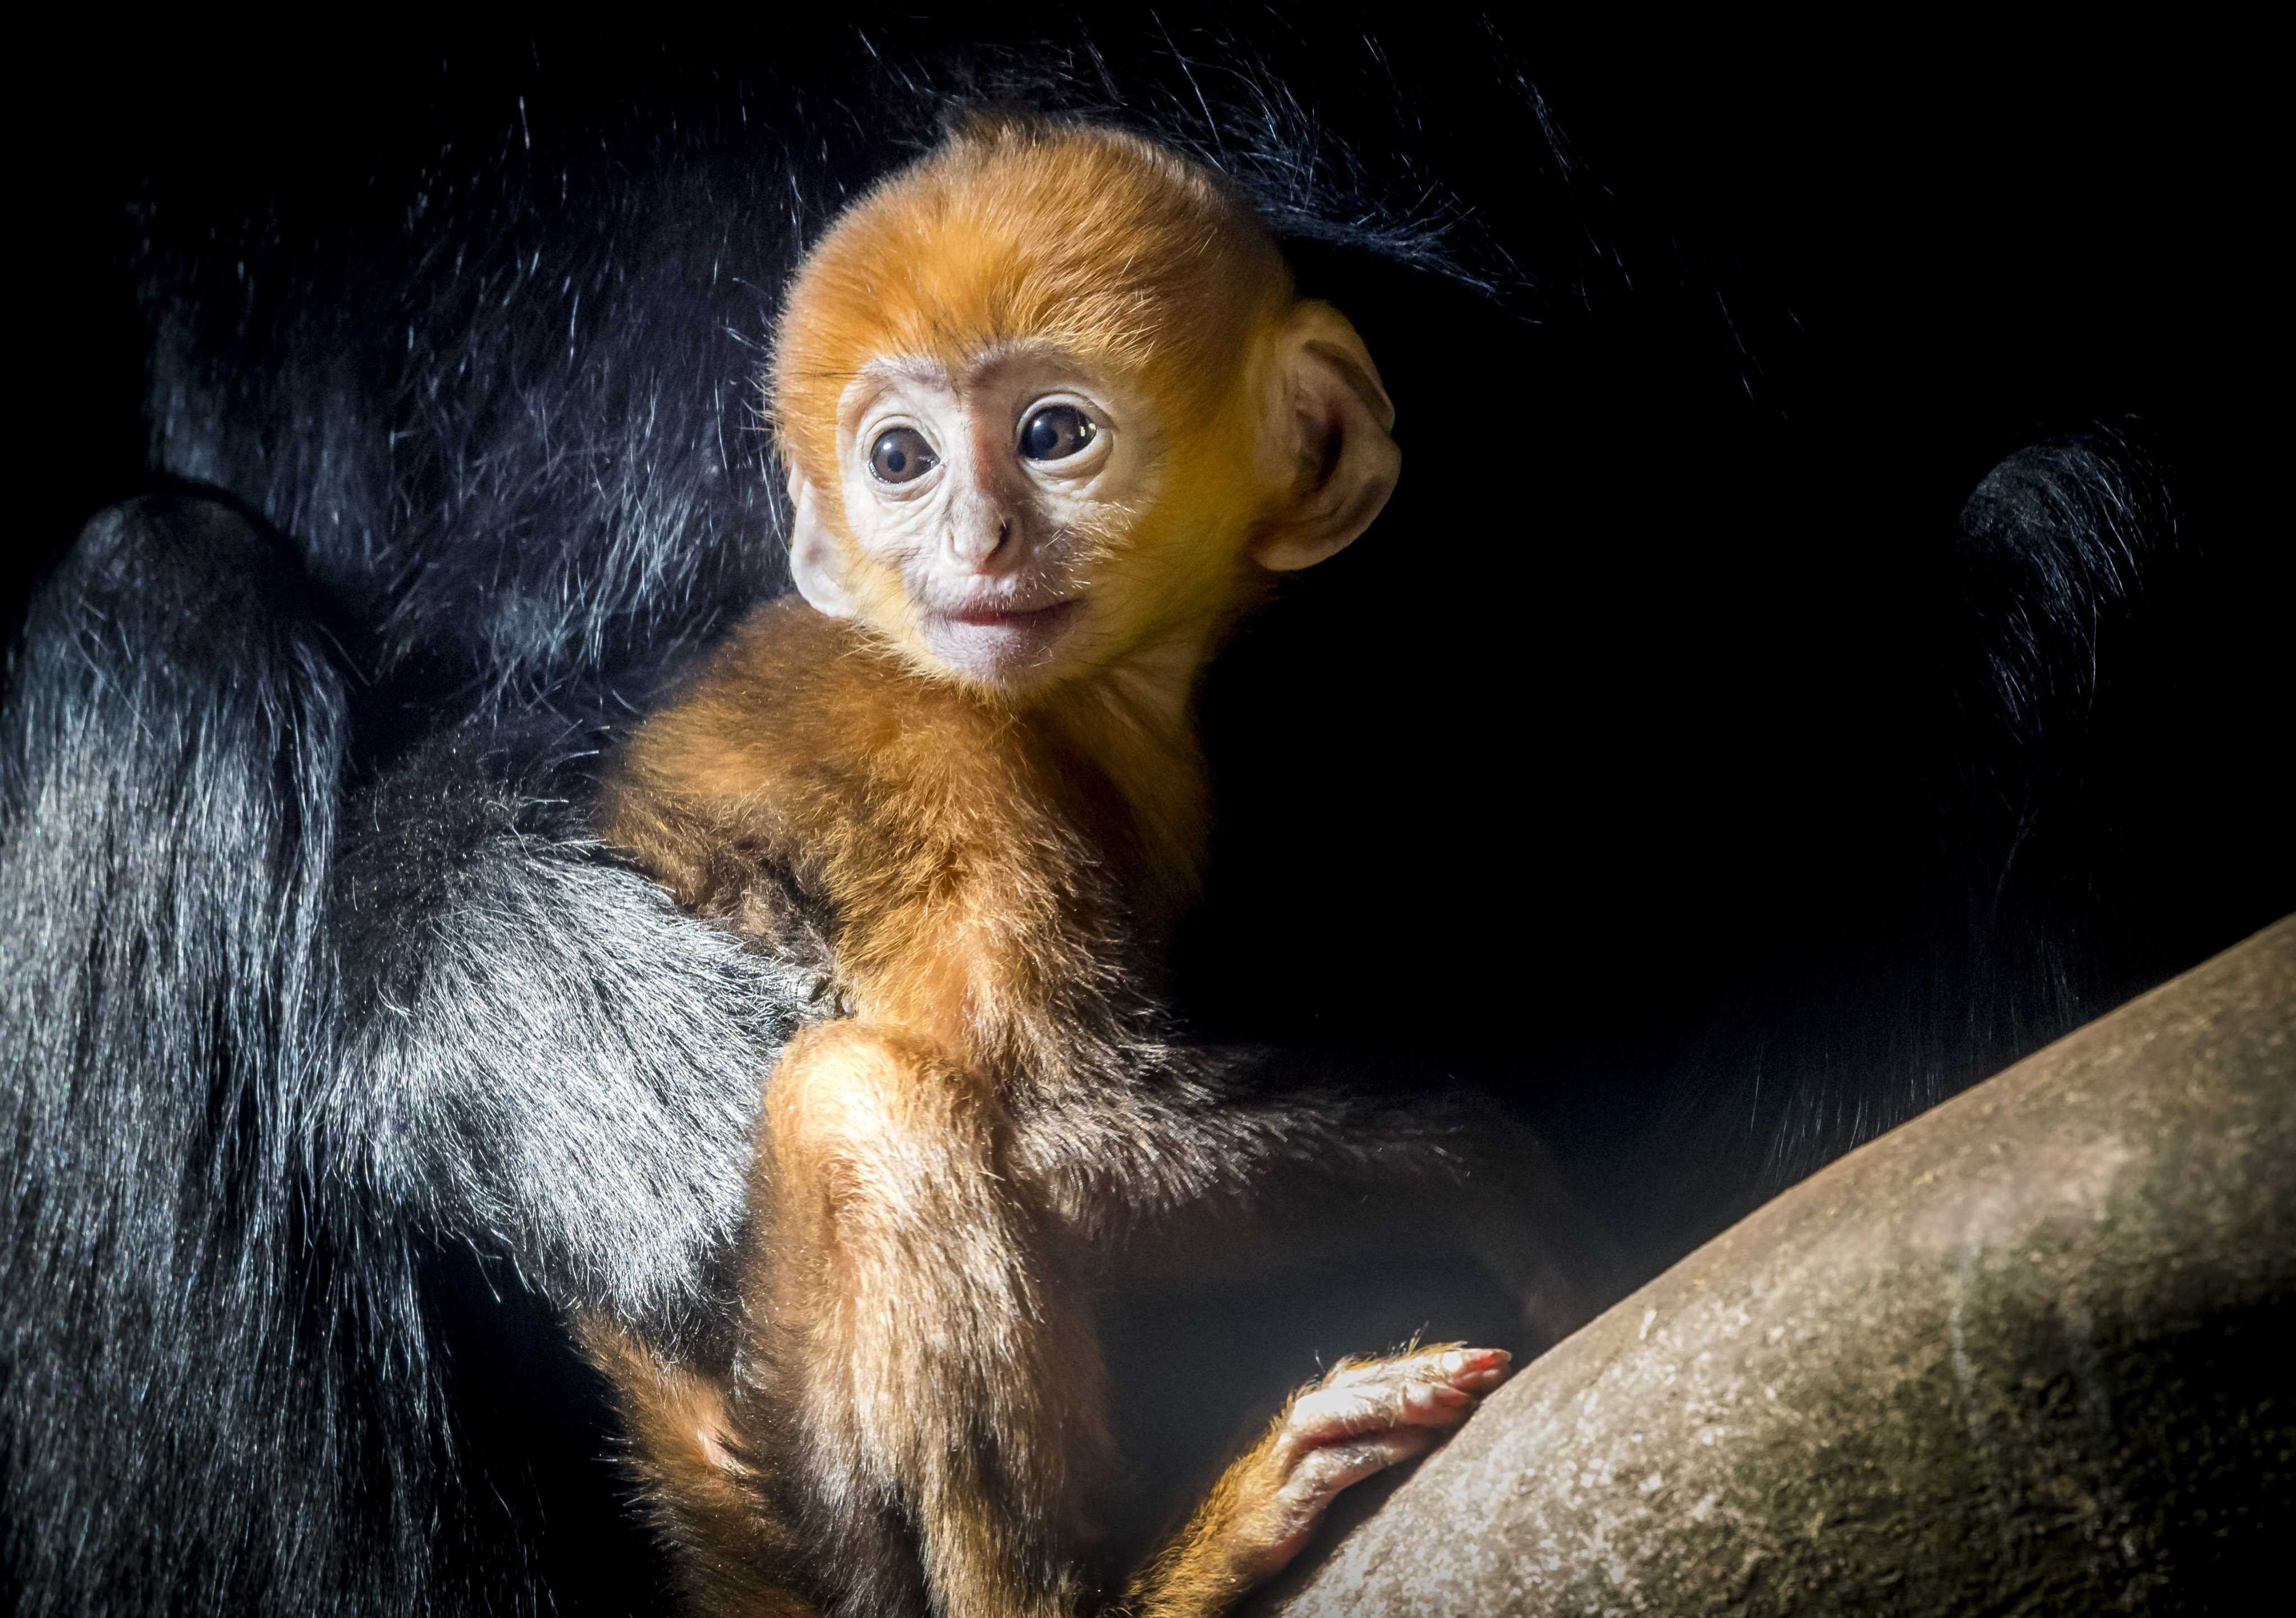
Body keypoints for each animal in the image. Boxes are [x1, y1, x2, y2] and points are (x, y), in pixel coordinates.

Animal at [592, 117, 1588, 1615]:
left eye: (1052, 436)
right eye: (901, 458)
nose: (977, 543)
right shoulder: (946, 757)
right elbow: (1043, 1113)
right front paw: (1484, 1170)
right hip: (817, 1520)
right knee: (861, 1099)